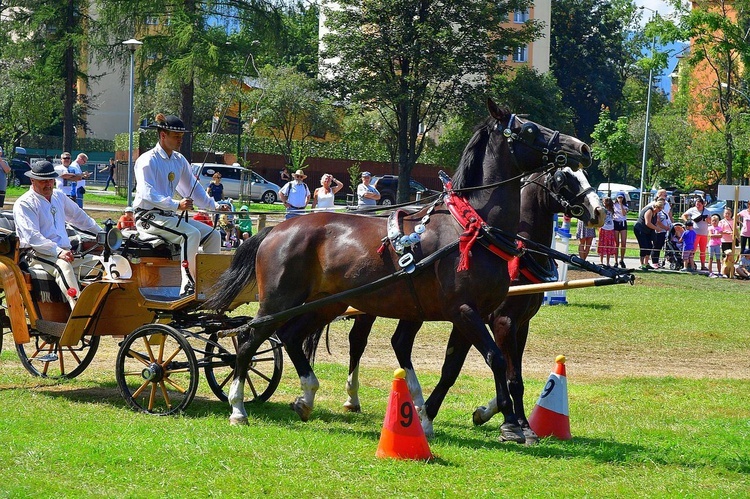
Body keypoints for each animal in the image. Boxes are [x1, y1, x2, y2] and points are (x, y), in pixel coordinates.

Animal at [206, 100, 592, 442]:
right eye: (529, 129)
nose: (583, 147)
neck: (472, 228)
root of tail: (277, 229)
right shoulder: (472, 312)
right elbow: (498, 362)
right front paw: (511, 424)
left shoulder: (474, 315)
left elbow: (461, 367)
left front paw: (437, 416)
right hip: (277, 301)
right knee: (248, 340)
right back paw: (238, 407)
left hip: (326, 303)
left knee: (290, 337)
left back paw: (307, 396)